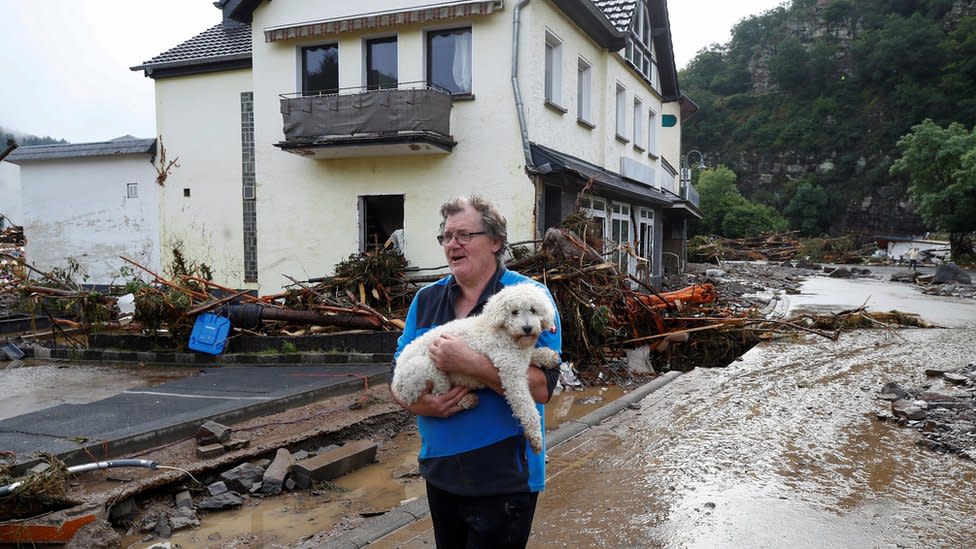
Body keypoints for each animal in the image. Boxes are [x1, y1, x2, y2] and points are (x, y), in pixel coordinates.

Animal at [392, 280, 560, 452]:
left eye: (533, 310)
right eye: (514, 312)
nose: (527, 328)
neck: (506, 334)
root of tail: (398, 384)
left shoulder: (520, 355)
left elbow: (532, 354)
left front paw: (548, 356)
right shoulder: (510, 371)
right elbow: (525, 405)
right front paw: (535, 437)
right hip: (425, 369)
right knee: (441, 395)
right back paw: (466, 399)